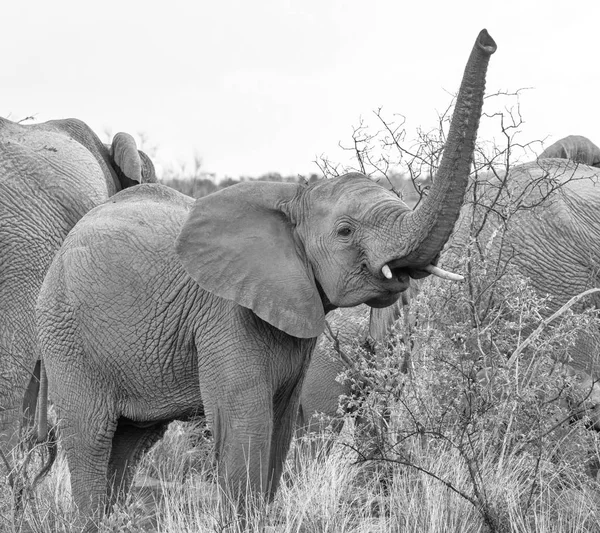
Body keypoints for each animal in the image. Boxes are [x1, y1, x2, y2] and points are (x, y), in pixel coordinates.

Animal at [35, 30, 500, 528]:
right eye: (345, 231)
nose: (488, 39)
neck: (292, 201)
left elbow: (280, 423)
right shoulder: (225, 316)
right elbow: (246, 421)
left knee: (131, 441)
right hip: (66, 336)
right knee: (91, 436)